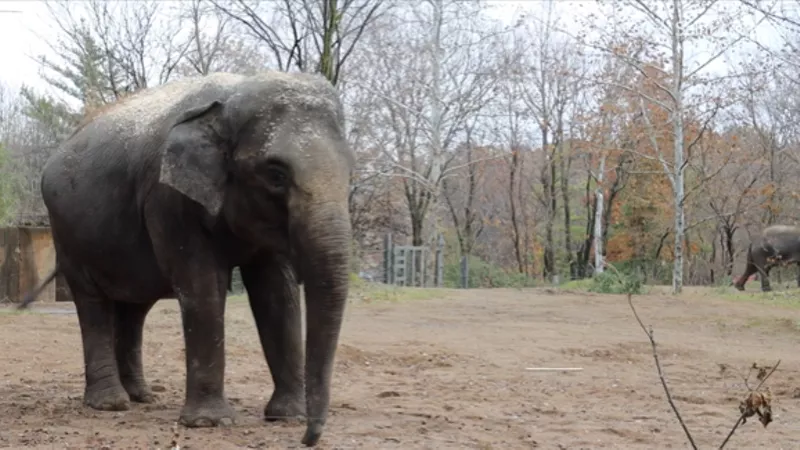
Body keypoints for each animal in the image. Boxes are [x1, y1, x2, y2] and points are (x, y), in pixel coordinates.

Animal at [17, 71, 354, 446]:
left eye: (350, 172)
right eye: (276, 174)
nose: (308, 438)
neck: (232, 97)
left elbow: (276, 294)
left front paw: (287, 417)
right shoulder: (168, 199)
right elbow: (201, 285)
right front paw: (210, 423)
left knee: (134, 308)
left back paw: (141, 397)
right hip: (67, 233)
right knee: (93, 303)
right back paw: (110, 404)